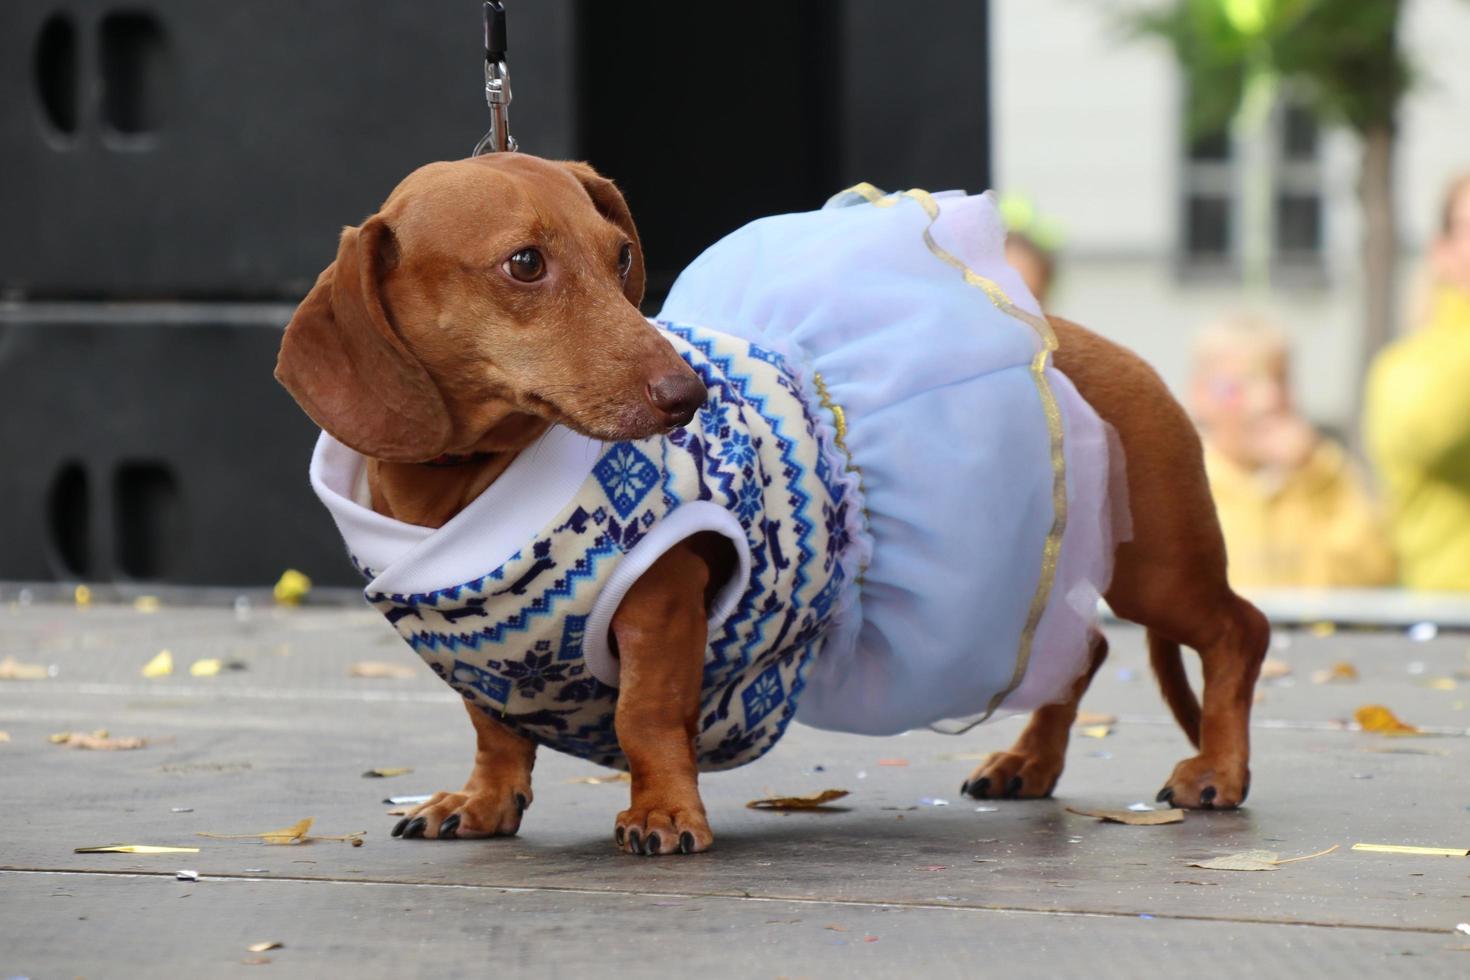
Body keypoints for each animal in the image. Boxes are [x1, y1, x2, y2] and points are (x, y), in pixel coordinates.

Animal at [280, 151, 1270, 852]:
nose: (685, 397)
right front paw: (483, 802)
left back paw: (1217, 771)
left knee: (1236, 630)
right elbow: (495, 731)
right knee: (1082, 647)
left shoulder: (665, 598)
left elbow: (645, 716)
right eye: (524, 264)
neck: (465, 484)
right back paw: (1030, 762)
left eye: (620, 255)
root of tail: (1091, 342)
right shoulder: (482, 662)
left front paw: (665, 815)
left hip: (1159, 565)